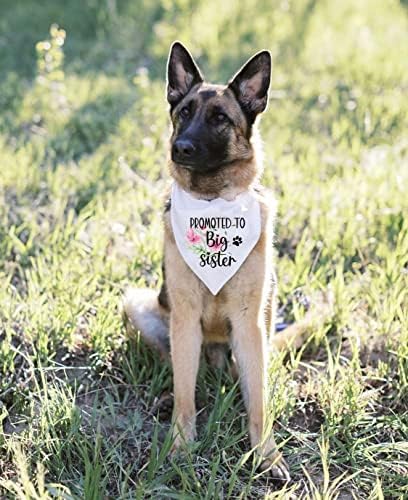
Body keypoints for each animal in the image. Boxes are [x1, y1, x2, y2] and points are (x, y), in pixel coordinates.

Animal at [122, 43, 314, 480]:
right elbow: (185, 397)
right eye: (184, 112)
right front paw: (180, 447)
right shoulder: (185, 318)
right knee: (178, 370)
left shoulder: (248, 323)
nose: (180, 148)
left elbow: (257, 402)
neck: (211, 204)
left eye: (220, 119)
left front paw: (266, 453)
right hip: (140, 307)